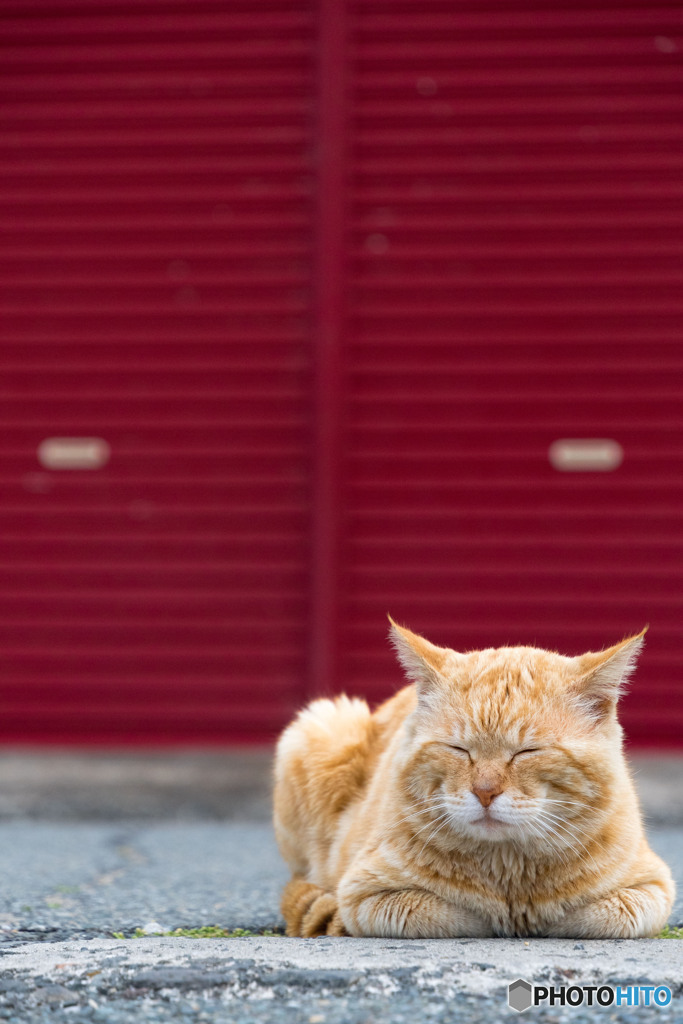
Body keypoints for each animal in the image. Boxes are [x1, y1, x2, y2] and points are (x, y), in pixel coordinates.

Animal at [272, 618, 671, 937]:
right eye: (459, 749)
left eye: (527, 752)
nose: (485, 792)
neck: (509, 867)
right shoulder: (366, 896)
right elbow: (459, 914)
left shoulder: (650, 890)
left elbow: (593, 916)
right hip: (321, 726)